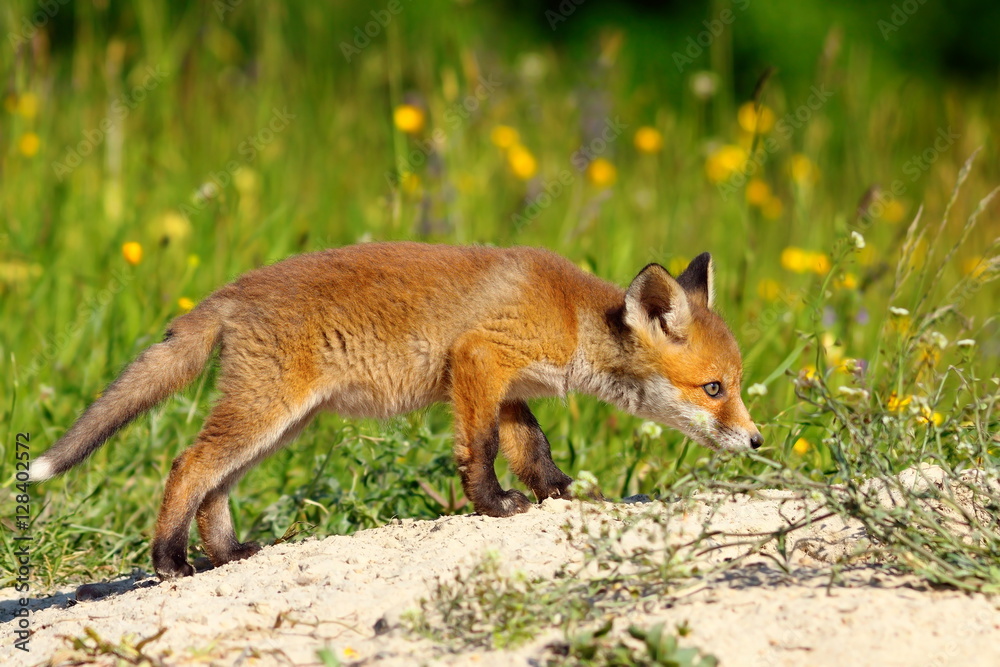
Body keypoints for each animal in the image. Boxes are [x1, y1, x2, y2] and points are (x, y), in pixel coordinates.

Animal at [35, 244, 760, 580]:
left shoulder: (510, 387)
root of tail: (234, 288)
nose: (756, 440)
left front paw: (559, 494)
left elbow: (533, 449)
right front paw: (493, 505)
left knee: (216, 483)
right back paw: (168, 560)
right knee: (188, 463)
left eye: (734, 384)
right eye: (714, 389)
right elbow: (481, 450)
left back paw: (229, 551)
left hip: (282, 422)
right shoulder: (479, 358)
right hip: (266, 411)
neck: (571, 317)